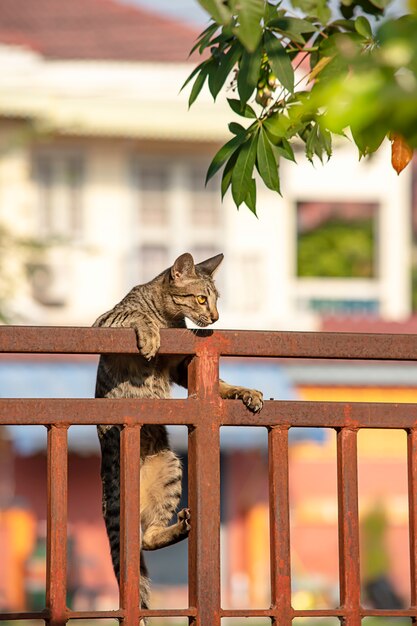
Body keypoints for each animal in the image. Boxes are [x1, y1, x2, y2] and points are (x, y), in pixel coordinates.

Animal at [94, 252, 264, 620]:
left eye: (216, 300)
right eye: (201, 299)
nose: (215, 317)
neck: (170, 319)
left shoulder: (182, 366)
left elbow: (219, 383)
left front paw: (244, 392)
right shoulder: (106, 320)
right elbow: (135, 314)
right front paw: (149, 333)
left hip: (170, 468)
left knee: (148, 536)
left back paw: (180, 527)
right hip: (119, 495)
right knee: (137, 540)